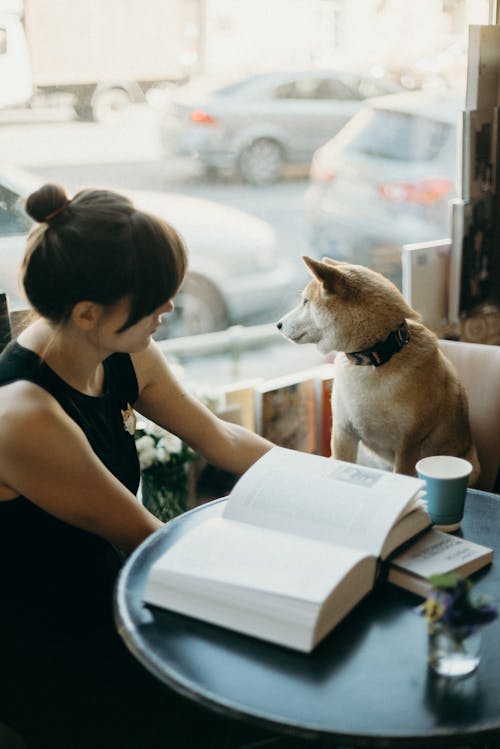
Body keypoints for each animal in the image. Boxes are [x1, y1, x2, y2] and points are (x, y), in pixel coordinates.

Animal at [278, 254, 480, 482]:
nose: (278, 325)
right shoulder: (343, 433)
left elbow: (402, 472)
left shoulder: (408, 444)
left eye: (305, 302)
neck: (373, 359)